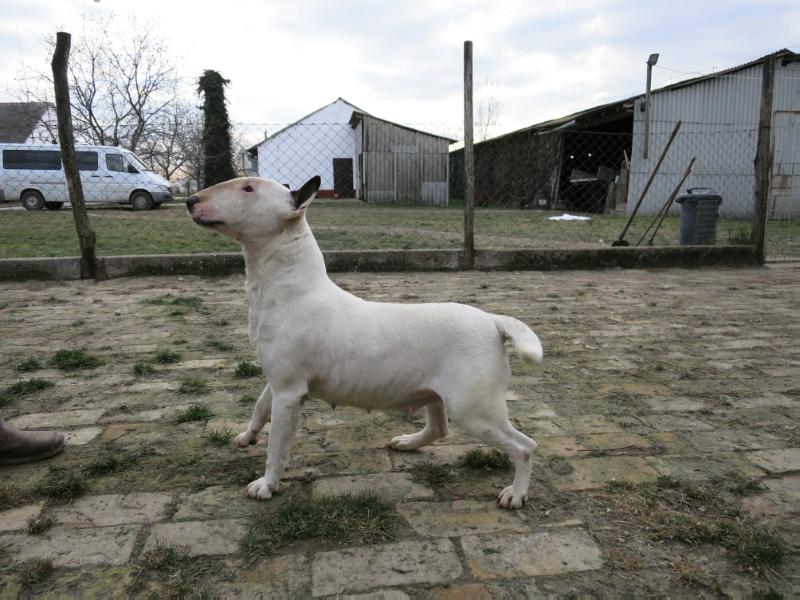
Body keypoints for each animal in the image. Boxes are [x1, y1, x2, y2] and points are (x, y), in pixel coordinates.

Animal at [186, 176, 544, 508]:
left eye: (248, 189)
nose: (190, 201)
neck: (291, 291)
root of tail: (493, 322)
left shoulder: (289, 392)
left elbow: (277, 445)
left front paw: (266, 485)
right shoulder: (278, 380)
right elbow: (260, 408)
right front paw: (247, 437)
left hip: (473, 408)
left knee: (525, 447)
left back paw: (515, 494)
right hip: (438, 394)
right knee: (439, 429)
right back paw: (407, 442)